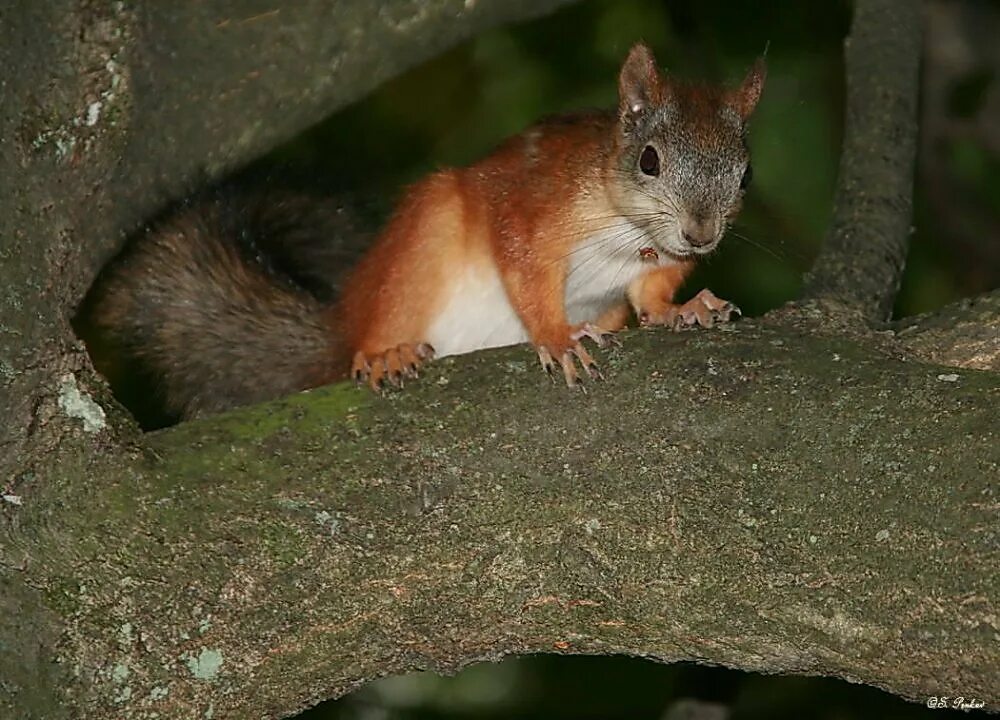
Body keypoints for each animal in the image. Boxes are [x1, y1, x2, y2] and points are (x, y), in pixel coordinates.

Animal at [90, 45, 764, 422]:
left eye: (745, 173)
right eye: (649, 160)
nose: (701, 233)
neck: (630, 231)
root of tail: (343, 327)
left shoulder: (657, 264)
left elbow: (650, 296)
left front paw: (685, 309)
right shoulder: (533, 211)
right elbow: (522, 265)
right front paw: (556, 335)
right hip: (421, 243)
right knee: (373, 337)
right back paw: (383, 353)